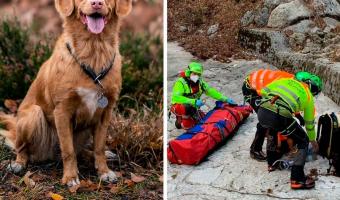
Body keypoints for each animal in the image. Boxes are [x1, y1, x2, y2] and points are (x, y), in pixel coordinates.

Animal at [0, 0, 131, 188]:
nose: (97, 3)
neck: (94, 47)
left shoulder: (105, 112)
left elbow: (98, 147)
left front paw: (104, 172)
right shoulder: (62, 110)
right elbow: (68, 151)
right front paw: (70, 177)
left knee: (83, 150)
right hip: (32, 116)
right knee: (23, 148)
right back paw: (19, 163)